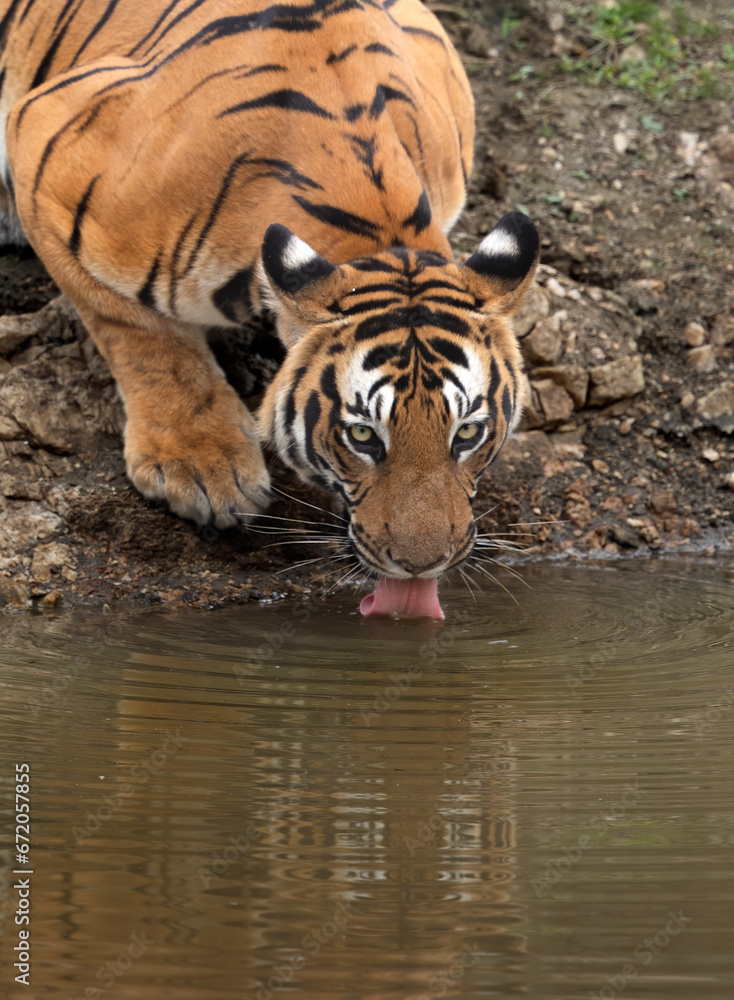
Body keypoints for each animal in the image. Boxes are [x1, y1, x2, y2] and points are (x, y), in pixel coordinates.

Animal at [0, 0, 538, 617]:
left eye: (467, 433)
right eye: (363, 437)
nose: (423, 564)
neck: (377, 230)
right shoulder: (44, 141)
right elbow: (137, 334)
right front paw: (202, 468)